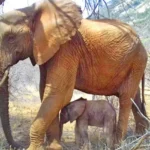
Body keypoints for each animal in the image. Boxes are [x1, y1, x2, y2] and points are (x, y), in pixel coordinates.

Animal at [0, 0, 148, 149]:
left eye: (11, 38)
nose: (17, 145)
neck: (30, 10)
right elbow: (45, 92)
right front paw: (54, 146)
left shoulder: (66, 49)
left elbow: (59, 94)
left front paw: (35, 148)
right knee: (134, 98)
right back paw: (141, 136)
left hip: (137, 60)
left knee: (125, 98)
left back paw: (119, 143)